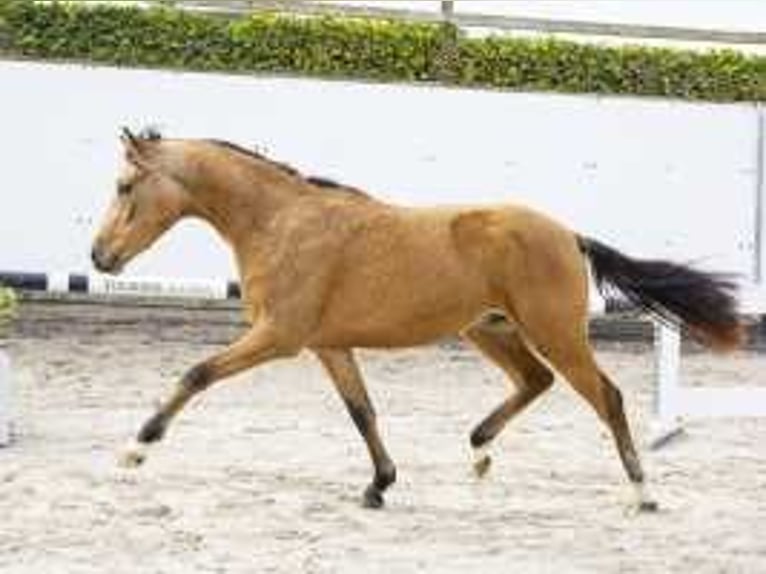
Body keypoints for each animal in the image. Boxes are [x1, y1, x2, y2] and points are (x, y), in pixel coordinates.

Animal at [91, 127, 744, 512]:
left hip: (556, 333)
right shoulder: (329, 345)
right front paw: (379, 484)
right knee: (535, 381)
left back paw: (642, 491)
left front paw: (134, 450)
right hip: (489, 329)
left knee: (605, 396)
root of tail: (569, 234)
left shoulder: (279, 336)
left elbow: (196, 374)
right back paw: (479, 452)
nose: (99, 257)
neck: (281, 223)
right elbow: (362, 411)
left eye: (124, 186)